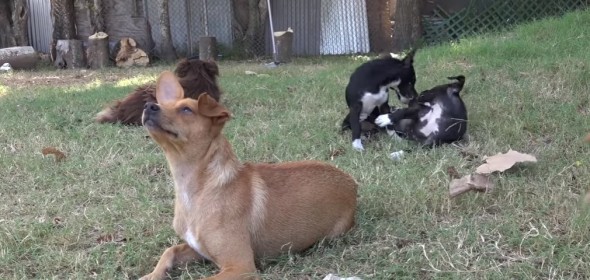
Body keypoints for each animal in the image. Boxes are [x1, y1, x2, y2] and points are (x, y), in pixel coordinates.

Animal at [141, 71, 358, 278]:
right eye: (162, 104)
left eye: (187, 110)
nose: (149, 106)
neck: (197, 189)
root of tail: (351, 181)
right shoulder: (200, 250)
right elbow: (170, 250)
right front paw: (152, 275)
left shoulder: (240, 266)